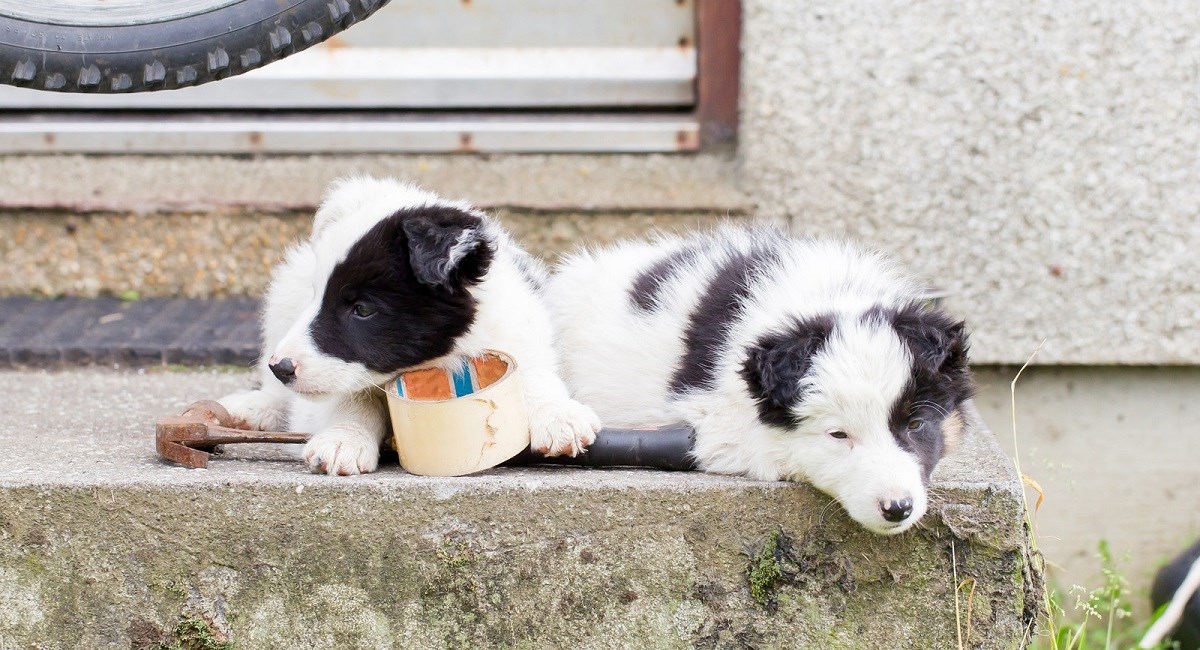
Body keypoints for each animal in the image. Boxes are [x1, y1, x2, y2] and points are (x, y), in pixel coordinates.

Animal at [217, 176, 600, 477]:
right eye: (319, 295)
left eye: (362, 309)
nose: (282, 366)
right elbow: (350, 397)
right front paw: (344, 438)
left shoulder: (517, 330)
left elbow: (535, 375)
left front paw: (560, 417)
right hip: (283, 299)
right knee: (276, 391)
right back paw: (249, 410)